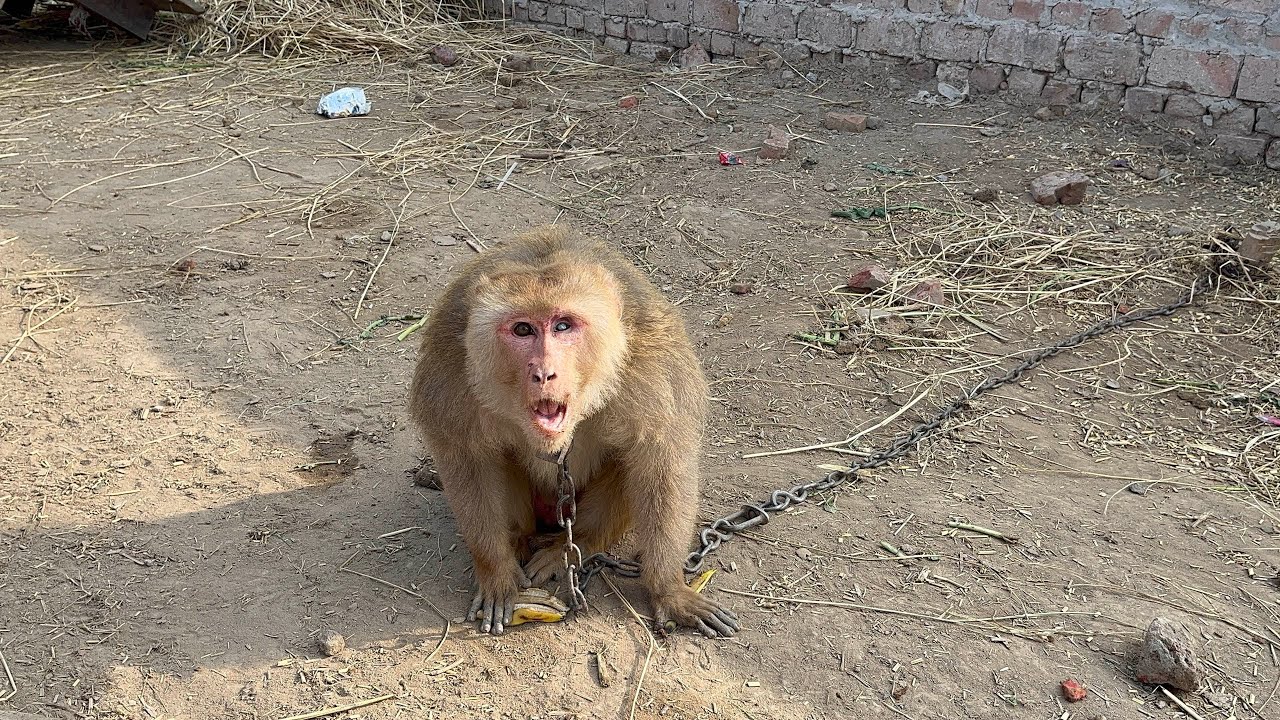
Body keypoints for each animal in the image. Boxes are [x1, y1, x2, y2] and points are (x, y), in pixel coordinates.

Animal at [408, 224, 739, 638]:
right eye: (523, 329)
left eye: (563, 325)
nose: (544, 372)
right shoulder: (450, 372)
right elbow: (469, 462)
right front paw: (496, 574)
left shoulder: (656, 369)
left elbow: (662, 466)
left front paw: (668, 589)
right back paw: (518, 541)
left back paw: (574, 545)